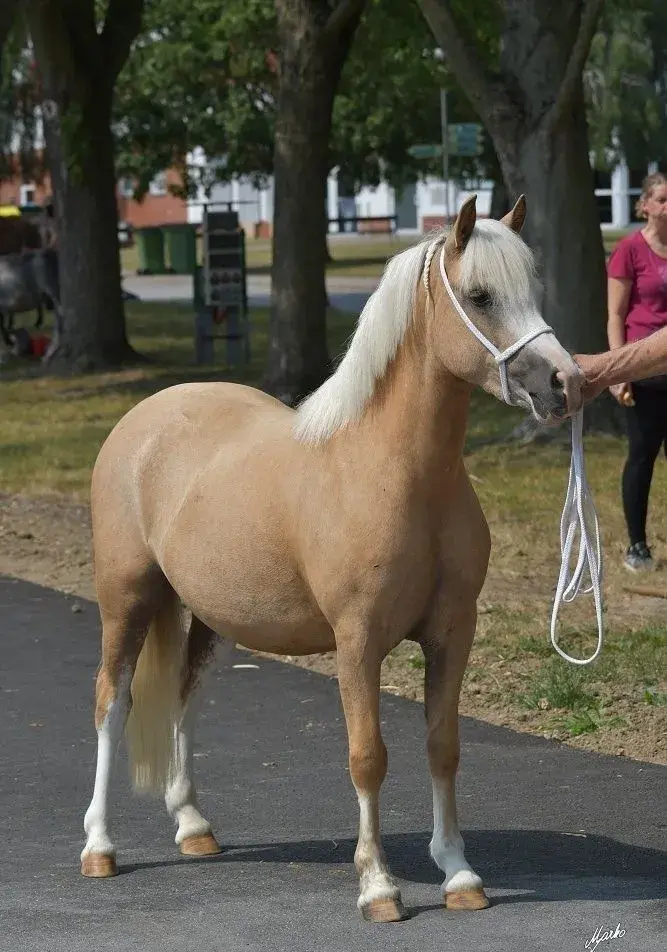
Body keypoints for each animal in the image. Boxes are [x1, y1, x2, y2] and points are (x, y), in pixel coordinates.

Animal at [80, 195, 584, 922]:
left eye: (532, 291)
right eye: (480, 296)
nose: (565, 383)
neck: (391, 473)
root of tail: (144, 417)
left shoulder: (452, 633)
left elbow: (442, 746)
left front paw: (459, 873)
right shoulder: (358, 641)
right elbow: (367, 754)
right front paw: (378, 885)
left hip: (205, 615)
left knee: (185, 699)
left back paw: (194, 827)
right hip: (125, 600)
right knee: (109, 702)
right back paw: (99, 847)